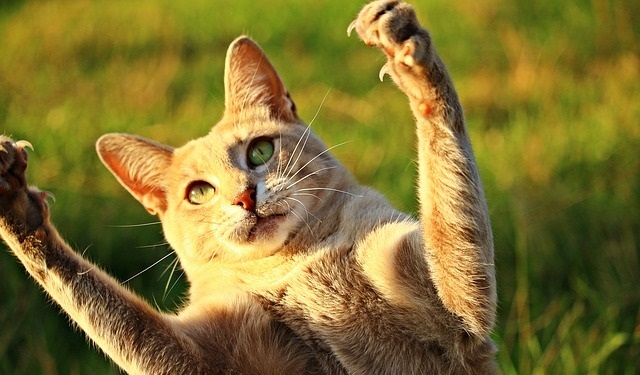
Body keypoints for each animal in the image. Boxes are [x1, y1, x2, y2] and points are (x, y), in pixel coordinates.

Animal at [0, 1, 496, 374]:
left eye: (260, 151)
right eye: (199, 192)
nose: (244, 197)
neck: (297, 263)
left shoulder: (451, 309)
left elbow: (448, 203)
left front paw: (404, 48)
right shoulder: (207, 355)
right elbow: (110, 309)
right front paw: (16, 203)